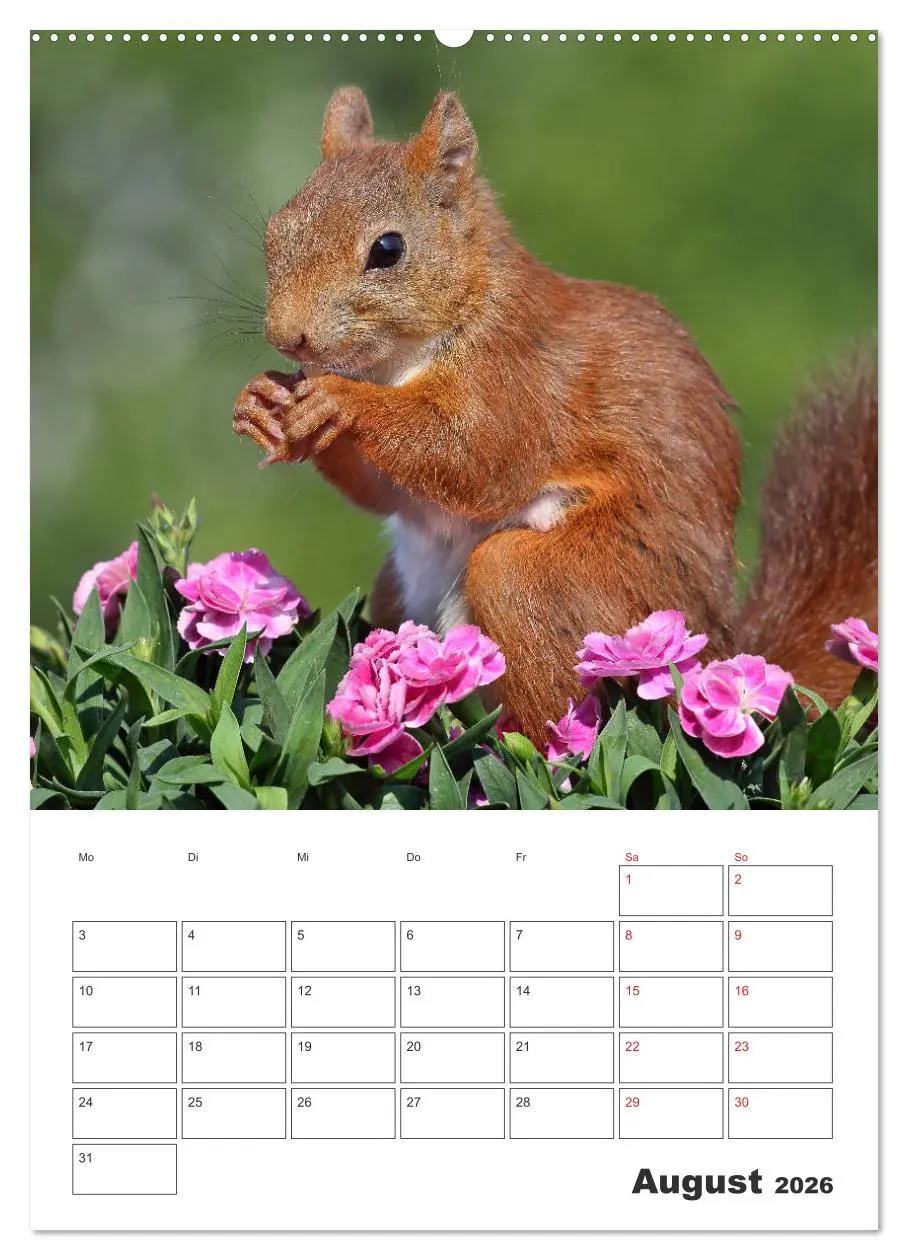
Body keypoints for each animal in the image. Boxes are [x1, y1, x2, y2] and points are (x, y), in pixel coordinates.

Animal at [233, 87, 877, 744]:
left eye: (388, 250)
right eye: (276, 230)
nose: (288, 337)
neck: (401, 361)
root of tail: (719, 645)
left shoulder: (519, 377)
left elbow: (476, 458)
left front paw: (342, 400)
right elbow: (387, 492)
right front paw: (263, 402)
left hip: (576, 586)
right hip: (396, 589)